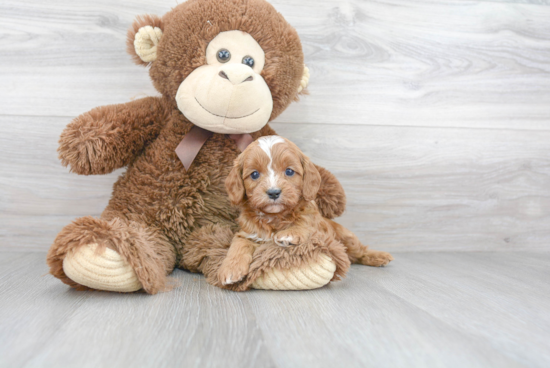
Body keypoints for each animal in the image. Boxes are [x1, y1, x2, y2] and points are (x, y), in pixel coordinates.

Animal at [218, 137, 394, 286]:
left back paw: (379, 256)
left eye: (289, 171)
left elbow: (304, 222)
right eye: (254, 174)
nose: (273, 192)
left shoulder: (313, 222)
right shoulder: (247, 233)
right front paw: (230, 269)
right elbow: (238, 244)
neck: (276, 217)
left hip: (347, 238)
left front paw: (290, 234)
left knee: (360, 251)